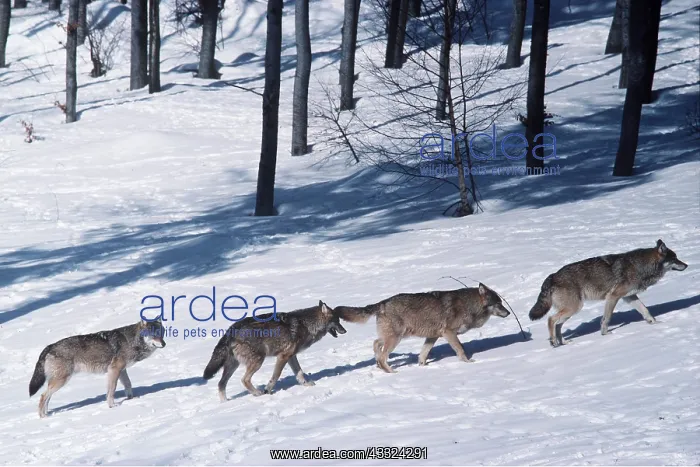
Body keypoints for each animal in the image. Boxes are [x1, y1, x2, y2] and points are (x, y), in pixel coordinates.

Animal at [29, 318, 166, 418]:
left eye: (162, 333)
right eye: (153, 335)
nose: (164, 344)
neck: (131, 341)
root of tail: (50, 346)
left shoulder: (122, 370)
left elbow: (128, 385)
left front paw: (131, 399)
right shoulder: (114, 370)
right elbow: (112, 390)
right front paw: (112, 406)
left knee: (47, 397)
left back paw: (47, 414)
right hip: (61, 380)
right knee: (43, 396)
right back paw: (42, 417)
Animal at [203, 301, 346, 401]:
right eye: (337, 321)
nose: (345, 331)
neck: (306, 324)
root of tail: (231, 330)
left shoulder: (291, 356)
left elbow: (300, 373)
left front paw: (307, 385)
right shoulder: (283, 356)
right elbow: (275, 376)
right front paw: (268, 390)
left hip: (233, 365)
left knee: (221, 384)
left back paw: (225, 403)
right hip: (258, 361)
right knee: (244, 380)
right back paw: (258, 393)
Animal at [336, 284, 510, 373]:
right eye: (498, 303)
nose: (509, 312)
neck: (469, 305)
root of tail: (382, 303)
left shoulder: (433, 336)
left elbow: (423, 353)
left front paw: (422, 366)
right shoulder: (449, 333)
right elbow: (460, 349)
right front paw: (468, 362)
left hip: (393, 336)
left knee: (376, 344)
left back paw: (379, 365)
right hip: (396, 338)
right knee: (382, 354)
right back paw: (390, 371)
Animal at [529, 239, 688, 347]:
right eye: (674, 259)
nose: (686, 265)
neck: (641, 266)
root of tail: (552, 276)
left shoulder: (629, 297)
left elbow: (645, 310)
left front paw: (655, 323)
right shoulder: (613, 297)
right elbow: (607, 318)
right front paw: (605, 334)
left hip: (571, 310)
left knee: (558, 325)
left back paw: (563, 342)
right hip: (574, 308)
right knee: (551, 320)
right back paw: (554, 342)